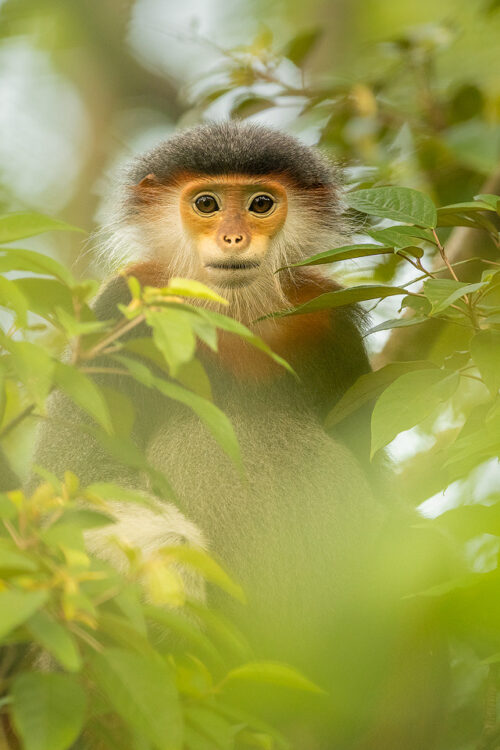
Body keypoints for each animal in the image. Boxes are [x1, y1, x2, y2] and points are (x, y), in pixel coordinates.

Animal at [25, 125, 448, 750]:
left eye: (260, 203)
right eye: (206, 203)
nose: (233, 236)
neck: (236, 314)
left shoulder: (326, 319)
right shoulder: (123, 309)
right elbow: (73, 476)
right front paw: (171, 579)